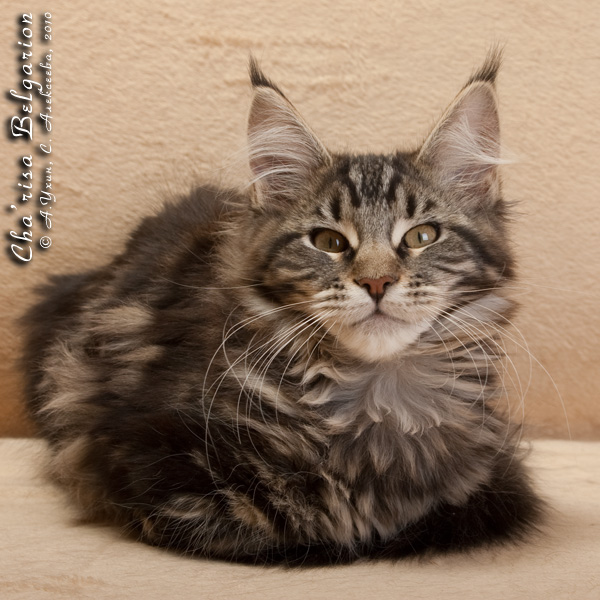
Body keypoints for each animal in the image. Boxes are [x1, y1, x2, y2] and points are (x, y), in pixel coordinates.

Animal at [22, 52, 542, 565]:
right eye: (328, 242)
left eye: (422, 236)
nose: (376, 281)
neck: (378, 394)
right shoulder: (145, 463)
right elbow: (297, 523)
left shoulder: (490, 472)